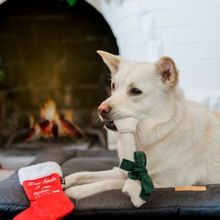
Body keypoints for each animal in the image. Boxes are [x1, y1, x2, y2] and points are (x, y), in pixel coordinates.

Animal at [63, 50, 220, 202]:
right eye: (113, 86)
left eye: (135, 91)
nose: (101, 109)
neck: (160, 134)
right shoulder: (121, 171)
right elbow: (82, 173)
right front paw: (64, 180)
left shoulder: (162, 184)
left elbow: (112, 182)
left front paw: (78, 191)